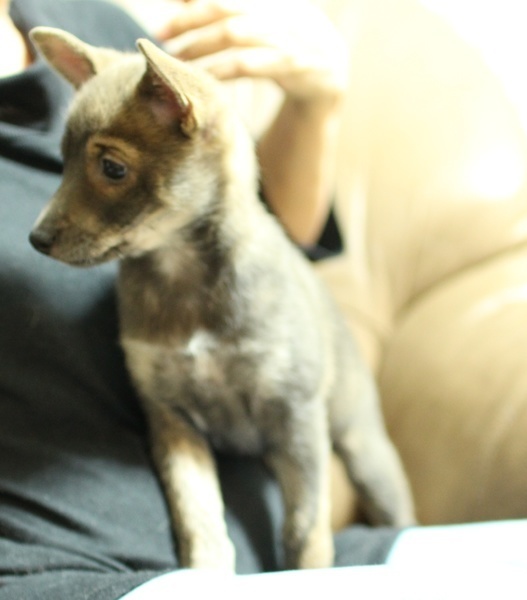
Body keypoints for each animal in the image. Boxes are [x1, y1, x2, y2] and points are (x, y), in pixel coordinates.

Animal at [28, 27, 415, 571]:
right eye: (62, 163)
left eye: (112, 168)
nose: (36, 238)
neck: (181, 275)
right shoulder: (171, 416)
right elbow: (198, 512)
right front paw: (209, 570)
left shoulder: (295, 415)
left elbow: (306, 528)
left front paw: (309, 571)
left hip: (364, 448)